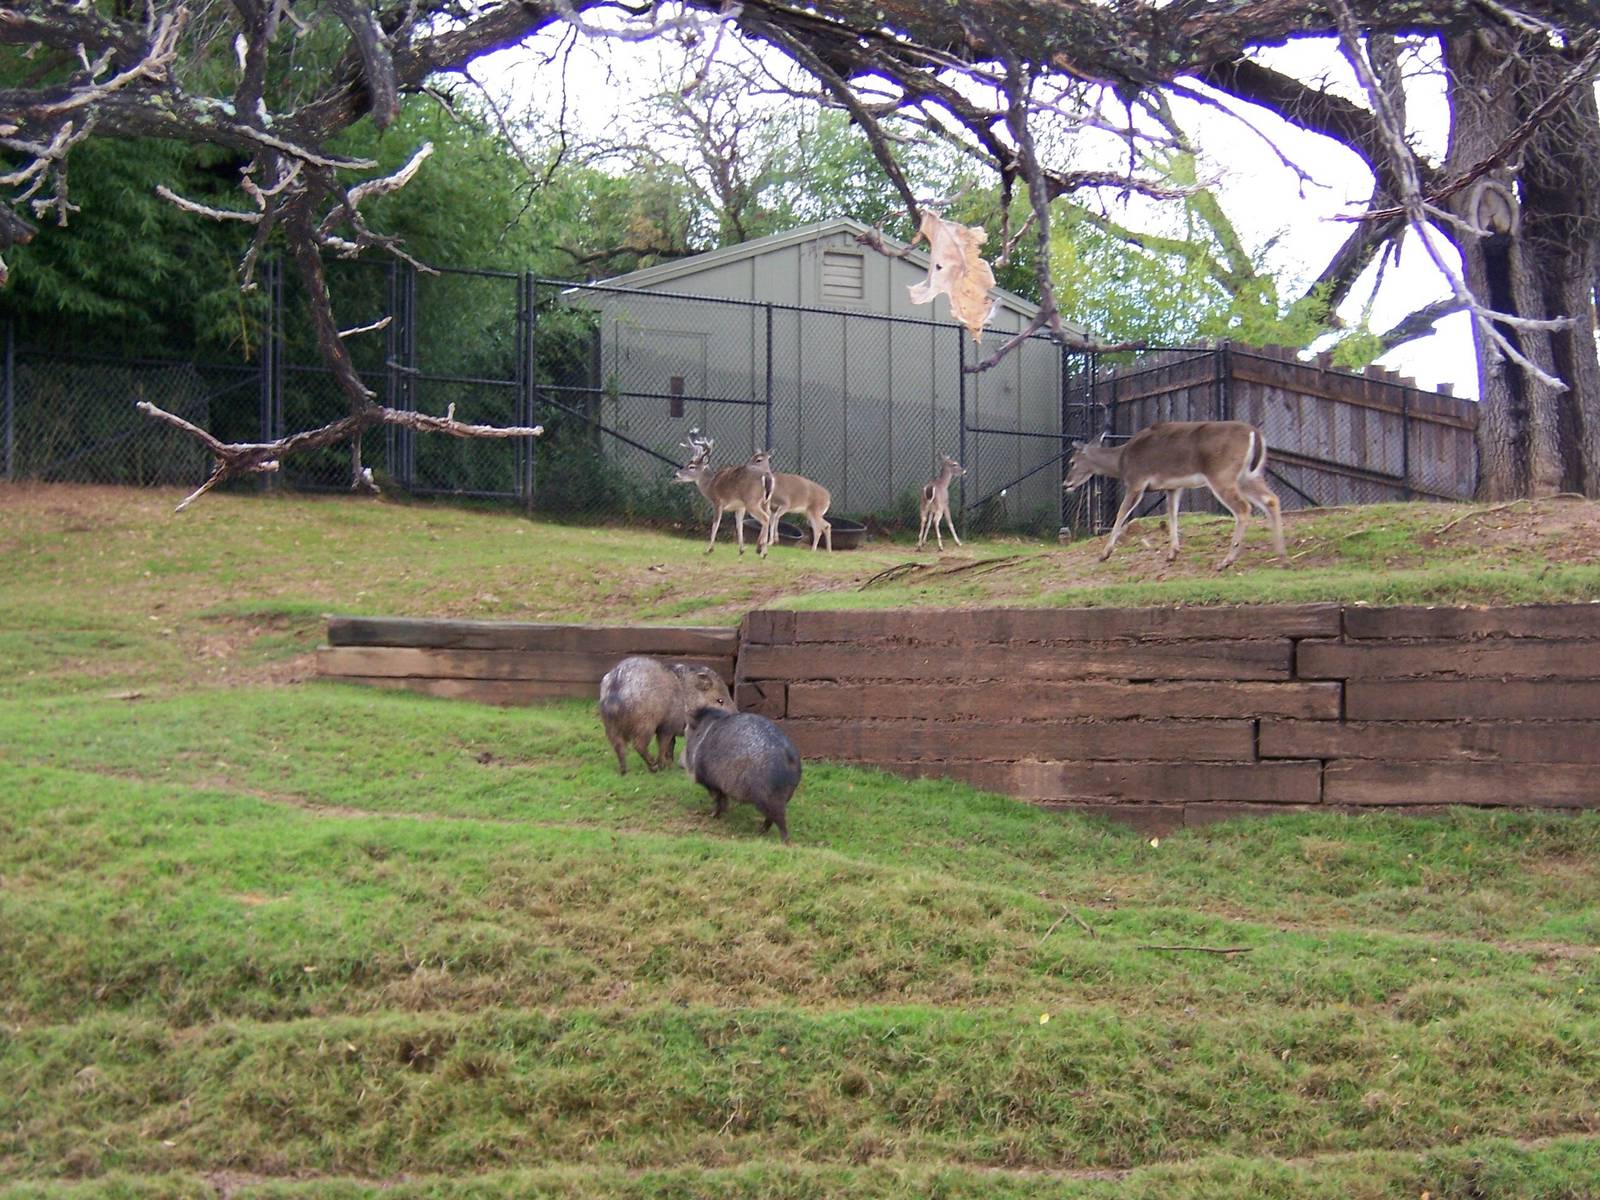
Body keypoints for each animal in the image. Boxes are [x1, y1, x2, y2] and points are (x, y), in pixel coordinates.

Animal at [1062, 421, 1287, 570]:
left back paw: (1226, 561)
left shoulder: (1136, 481)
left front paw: (1104, 554)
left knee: (1243, 508)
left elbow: (1121, 513)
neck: (1121, 462)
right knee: (1271, 499)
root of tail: (1255, 433)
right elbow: (1172, 514)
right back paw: (1281, 553)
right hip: (1249, 475)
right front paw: (1172, 553)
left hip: (1222, 474)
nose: (1066, 484)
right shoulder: (1173, 487)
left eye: (1072, 462)